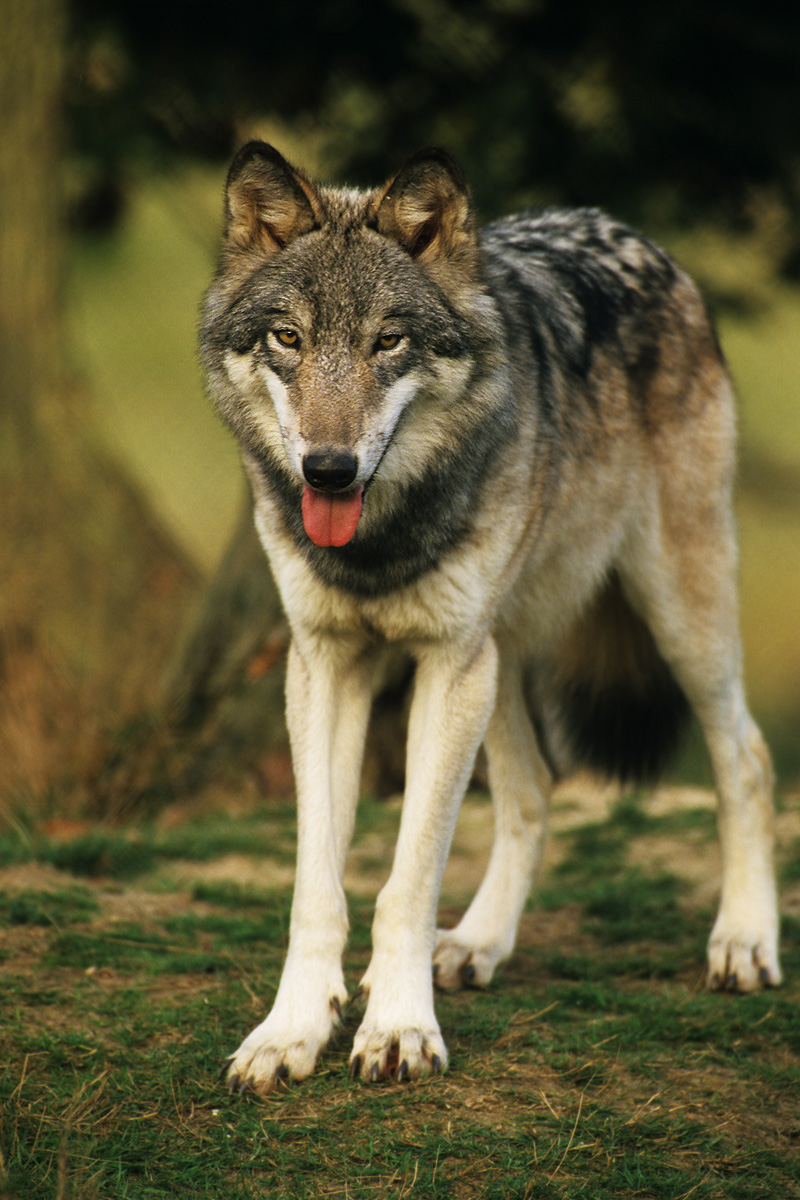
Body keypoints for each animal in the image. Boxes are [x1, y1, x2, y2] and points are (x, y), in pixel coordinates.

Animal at [200, 142, 781, 1094]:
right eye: (288, 338)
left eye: (388, 340)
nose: (328, 470)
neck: (381, 542)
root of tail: (627, 231)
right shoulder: (324, 664)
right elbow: (317, 886)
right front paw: (291, 1030)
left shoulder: (446, 661)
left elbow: (407, 877)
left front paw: (398, 1028)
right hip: (499, 655)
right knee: (536, 788)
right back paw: (479, 942)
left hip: (672, 617)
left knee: (748, 758)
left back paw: (744, 940)